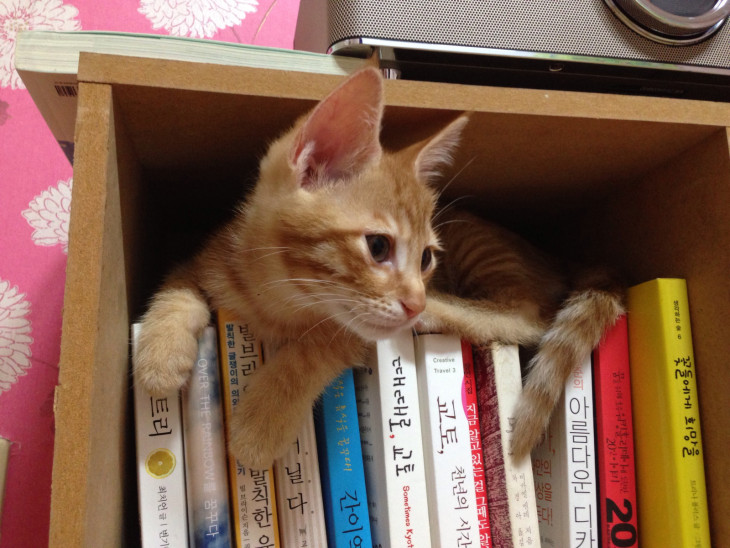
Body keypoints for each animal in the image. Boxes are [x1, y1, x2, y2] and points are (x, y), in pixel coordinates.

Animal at [133, 67, 623, 469]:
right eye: (378, 246)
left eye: (426, 258)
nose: (415, 300)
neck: (275, 297)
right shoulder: (208, 258)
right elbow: (178, 287)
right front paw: (160, 354)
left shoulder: (354, 330)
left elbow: (317, 346)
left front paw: (262, 422)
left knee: (525, 317)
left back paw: (438, 311)